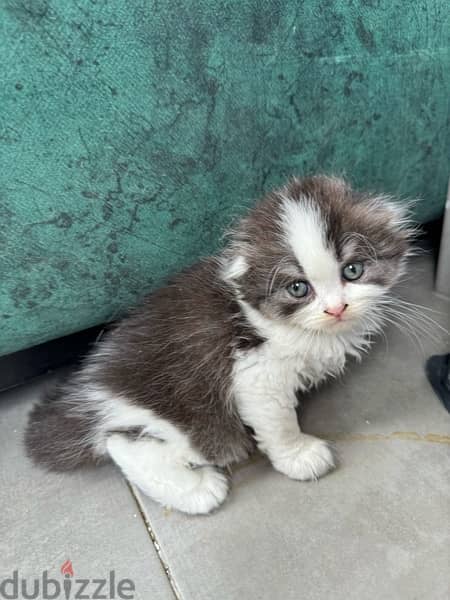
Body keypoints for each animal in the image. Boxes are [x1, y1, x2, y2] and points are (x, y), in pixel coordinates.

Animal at [24, 176, 412, 512]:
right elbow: (278, 421)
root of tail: (90, 388)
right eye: (298, 288)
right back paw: (198, 490)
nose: (336, 308)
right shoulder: (255, 371)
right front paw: (299, 455)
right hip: (184, 419)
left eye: (353, 271)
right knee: (121, 443)